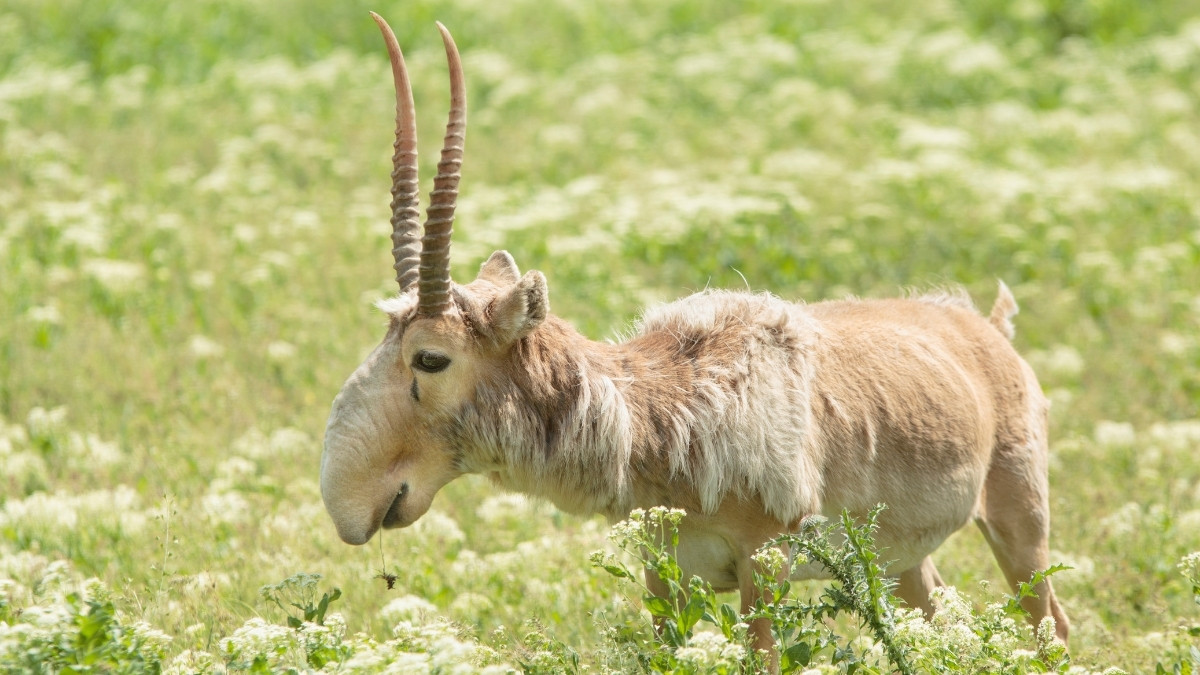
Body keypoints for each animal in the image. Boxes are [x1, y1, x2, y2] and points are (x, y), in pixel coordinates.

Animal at [320, 13, 1070, 660]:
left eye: (430, 357)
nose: (348, 505)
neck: (665, 405)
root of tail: (983, 328)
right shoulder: (665, 573)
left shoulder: (762, 567)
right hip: (904, 560)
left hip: (1019, 521)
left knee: (1051, 625)